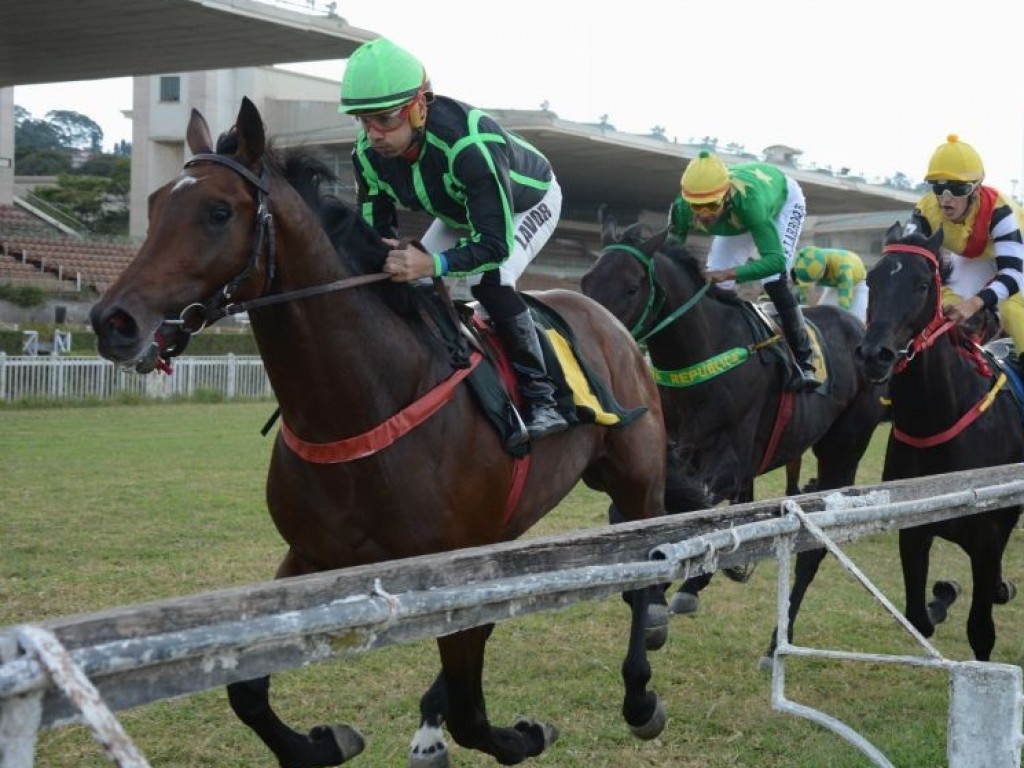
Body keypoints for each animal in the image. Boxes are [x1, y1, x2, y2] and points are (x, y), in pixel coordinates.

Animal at [88, 97, 671, 768]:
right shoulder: (312, 554)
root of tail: (612, 322)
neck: (365, 399)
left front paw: (522, 734)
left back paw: (640, 696)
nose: (112, 321)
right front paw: (321, 743)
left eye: (218, 212)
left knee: (644, 574)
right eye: (156, 203)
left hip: (637, 482)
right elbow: (246, 691)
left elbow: (474, 713)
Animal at [585, 221, 888, 663]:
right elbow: (634, 515)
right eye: (586, 280)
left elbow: (692, 510)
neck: (702, 357)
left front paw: (656, 603)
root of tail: (857, 328)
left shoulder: (727, 463)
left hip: (843, 449)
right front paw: (659, 595)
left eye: (630, 287)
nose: (594, 337)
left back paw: (776, 642)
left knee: (814, 547)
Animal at [851, 222, 1019, 663]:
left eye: (923, 284)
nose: (874, 355)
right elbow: (918, 618)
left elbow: (981, 632)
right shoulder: (913, 531)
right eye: (872, 279)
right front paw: (943, 595)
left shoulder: (986, 537)